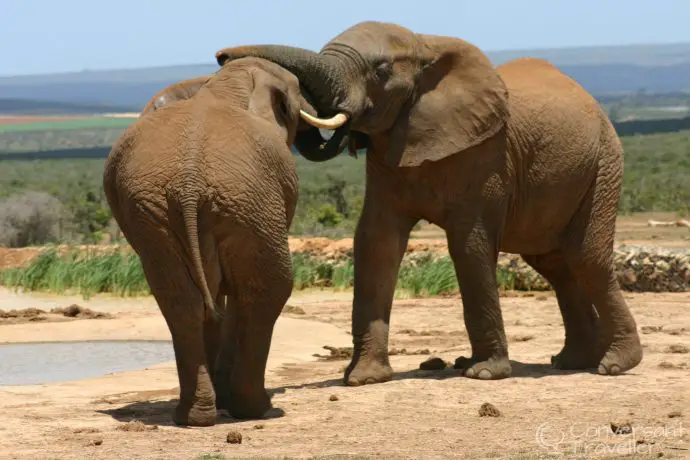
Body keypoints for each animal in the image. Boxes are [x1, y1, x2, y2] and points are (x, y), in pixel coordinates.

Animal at [103, 57, 322, 428]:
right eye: (294, 90)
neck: (223, 84)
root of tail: (189, 183)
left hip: (156, 215)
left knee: (179, 298)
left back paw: (195, 415)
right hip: (252, 202)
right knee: (266, 290)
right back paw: (255, 408)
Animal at [214, 19, 640, 384]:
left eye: (380, 70)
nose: (223, 56)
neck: (425, 45)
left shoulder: (486, 154)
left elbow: (468, 246)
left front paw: (486, 374)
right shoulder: (387, 153)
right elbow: (376, 243)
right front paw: (365, 378)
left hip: (604, 163)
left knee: (585, 257)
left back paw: (614, 365)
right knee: (555, 265)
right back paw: (571, 362)